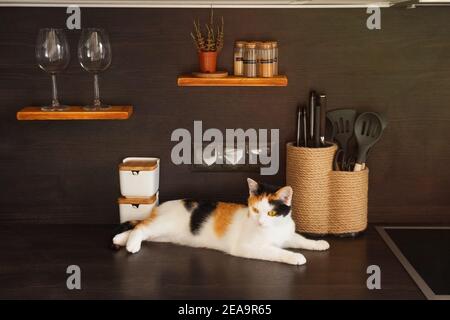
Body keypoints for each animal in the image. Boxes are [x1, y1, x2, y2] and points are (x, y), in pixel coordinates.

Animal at [112, 178, 330, 264]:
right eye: (255, 209)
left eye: (271, 213)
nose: (260, 222)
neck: (272, 230)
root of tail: (160, 207)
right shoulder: (247, 247)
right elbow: (276, 251)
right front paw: (295, 257)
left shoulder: (287, 234)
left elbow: (301, 239)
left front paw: (320, 243)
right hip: (163, 224)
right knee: (140, 228)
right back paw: (131, 244)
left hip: (164, 234)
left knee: (142, 230)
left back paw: (121, 239)